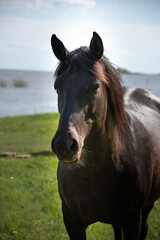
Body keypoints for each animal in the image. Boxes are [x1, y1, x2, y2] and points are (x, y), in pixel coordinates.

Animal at [50, 31, 160, 240]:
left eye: (96, 86)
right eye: (57, 86)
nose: (64, 145)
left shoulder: (133, 221)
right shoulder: (71, 221)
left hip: (146, 209)